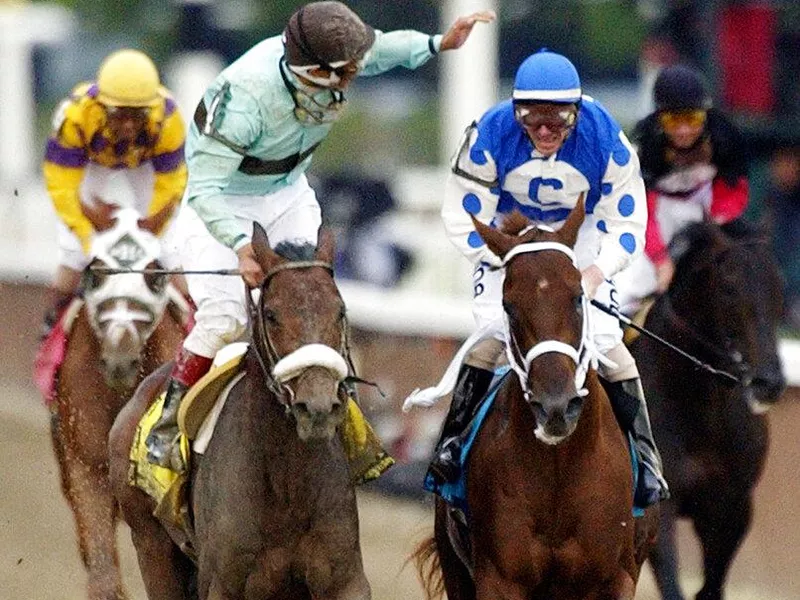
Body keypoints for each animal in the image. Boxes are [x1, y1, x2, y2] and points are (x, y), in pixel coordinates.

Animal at [108, 223, 374, 596]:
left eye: (340, 311)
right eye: (271, 314)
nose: (317, 407)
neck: (287, 483)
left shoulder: (344, 580)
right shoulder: (224, 584)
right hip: (151, 543)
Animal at [416, 202, 652, 600]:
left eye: (578, 297)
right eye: (509, 306)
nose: (556, 406)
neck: (560, 468)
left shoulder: (613, 580)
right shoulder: (500, 579)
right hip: (455, 566)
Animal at [628, 217, 784, 600]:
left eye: (777, 287)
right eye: (729, 288)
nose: (769, 382)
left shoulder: (733, 506)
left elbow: (711, 584)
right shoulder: (660, 507)